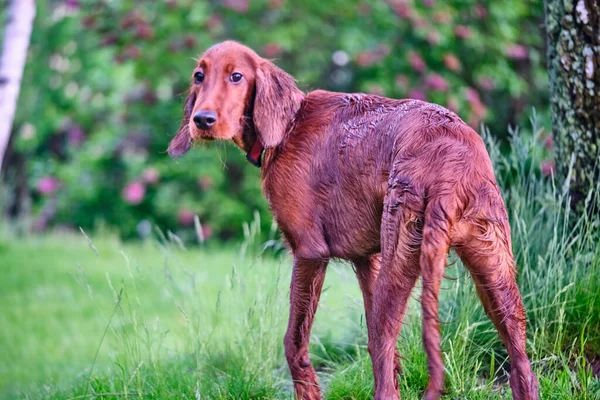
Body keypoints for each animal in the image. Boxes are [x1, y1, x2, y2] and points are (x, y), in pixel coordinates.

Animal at [168, 40, 540, 400]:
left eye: (237, 77)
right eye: (199, 76)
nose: (202, 120)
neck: (287, 126)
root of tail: (453, 163)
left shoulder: (309, 252)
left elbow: (294, 342)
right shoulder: (367, 259)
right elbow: (380, 350)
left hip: (403, 256)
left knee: (385, 357)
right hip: (493, 268)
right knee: (522, 366)